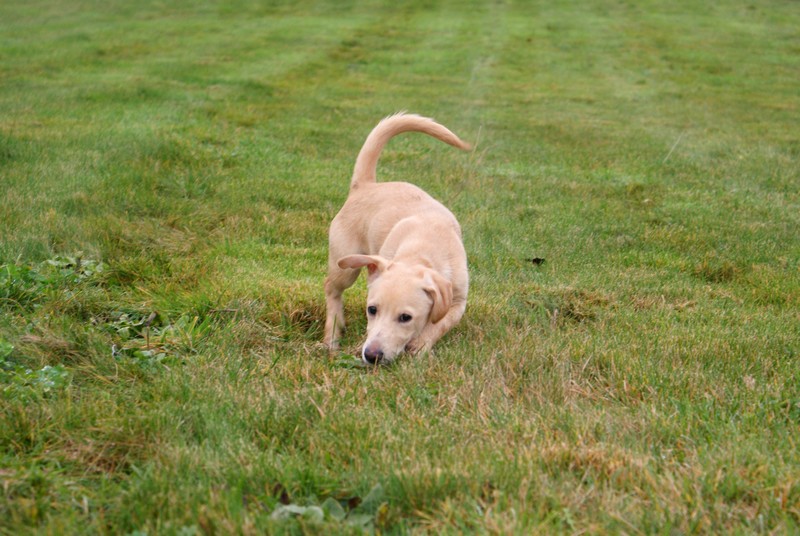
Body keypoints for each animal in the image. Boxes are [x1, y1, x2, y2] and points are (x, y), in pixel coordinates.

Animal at [324, 113, 468, 364]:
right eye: (372, 310)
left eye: (405, 317)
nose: (371, 355)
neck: (423, 248)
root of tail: (365, 186)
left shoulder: (459, 301)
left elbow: (440, 323)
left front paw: (420, 345)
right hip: (345, 264)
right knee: (332, 290)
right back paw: (332, 336)